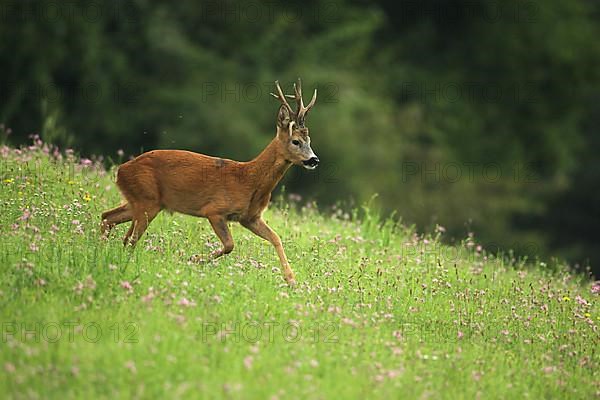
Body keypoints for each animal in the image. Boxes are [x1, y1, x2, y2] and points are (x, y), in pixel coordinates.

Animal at [101, 78, 322, 284]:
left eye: (309, 141)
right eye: (296, 141)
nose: (314, 160)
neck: (249, 180)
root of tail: (121, 170)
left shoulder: (250, 217)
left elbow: (276, 238)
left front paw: (291, 280)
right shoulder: (215, 210)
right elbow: (230, 245)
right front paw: (193, 259)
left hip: (140, 201)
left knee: (108, 218)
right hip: (148, 200)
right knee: (129, 238)